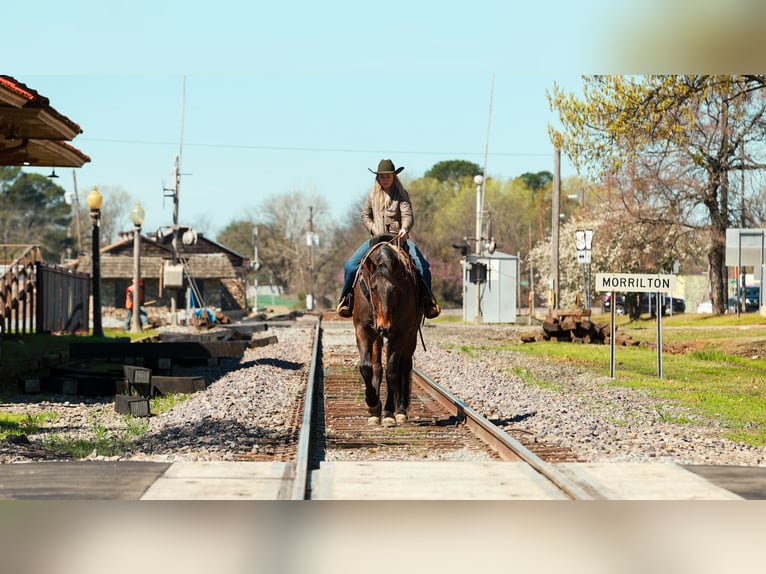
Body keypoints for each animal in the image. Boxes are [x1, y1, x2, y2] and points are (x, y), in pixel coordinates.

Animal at [352, 234, 424, 427]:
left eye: (395, 289)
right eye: (373, 288)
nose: (384, 327)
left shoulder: (400, 332)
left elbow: (392, 371)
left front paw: (390, 413)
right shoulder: (362, 329)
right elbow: (366, 367)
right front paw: (372, 404)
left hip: (410, 336)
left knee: (404, 366)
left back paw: (400, 410)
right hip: (377, 336)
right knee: (377, 366)